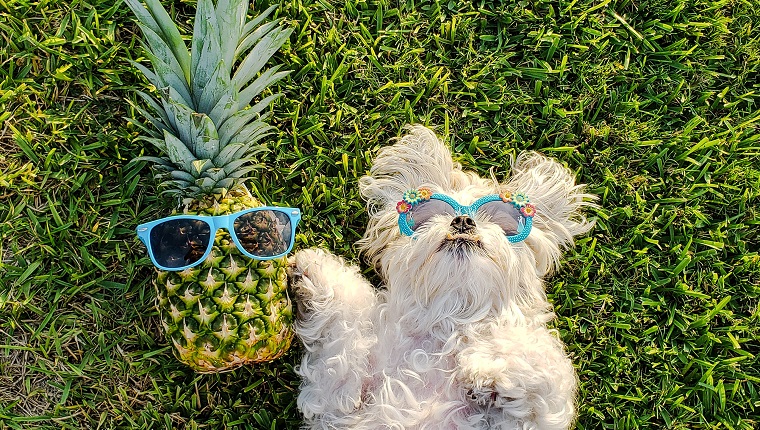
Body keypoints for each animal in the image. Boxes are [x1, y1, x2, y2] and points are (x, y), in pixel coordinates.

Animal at [290, 126, 592, 428]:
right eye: (430, 213)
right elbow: (343, 341)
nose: (463, 221)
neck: (449, 312)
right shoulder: (333, 401)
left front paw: (486, 367)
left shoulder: (537, 417)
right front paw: (317, 271)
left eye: (502, 222)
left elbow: (540, 360)